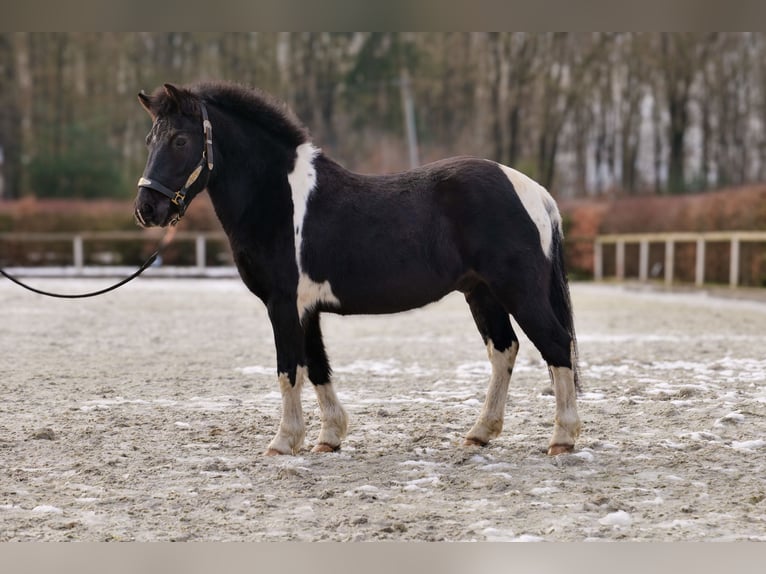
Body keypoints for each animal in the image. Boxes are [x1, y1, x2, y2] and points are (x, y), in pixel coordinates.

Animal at [136, 82, 584, 460]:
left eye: (180, 140)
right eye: (150, 139)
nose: (147, 209)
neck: (279, 200)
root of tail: (535, 192)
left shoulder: (282, 305)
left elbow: (288, 370)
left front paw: (283, 442)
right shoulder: (305, 309)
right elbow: (317, 367)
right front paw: (329, 437)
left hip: (518, 291)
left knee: (555, 345)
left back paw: (562, 439)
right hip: (482, 292)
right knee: (504, 350)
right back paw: (480, 433)